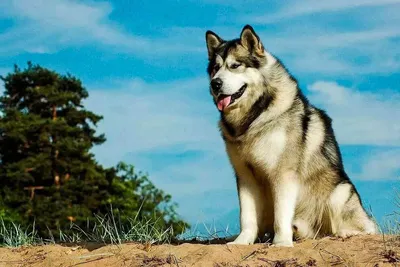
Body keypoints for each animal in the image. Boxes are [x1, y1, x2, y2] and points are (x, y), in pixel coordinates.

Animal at [205, 25, 376, 247]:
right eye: (215, 68)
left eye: (235, 66)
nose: (215, 84)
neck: (254, 117)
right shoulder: (245, 175)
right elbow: (247, 216)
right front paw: (242, 241)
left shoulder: (283, 174)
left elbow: (281, 214)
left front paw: (282, 243)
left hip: (339, 192)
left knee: (368, 228)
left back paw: (346, 233)